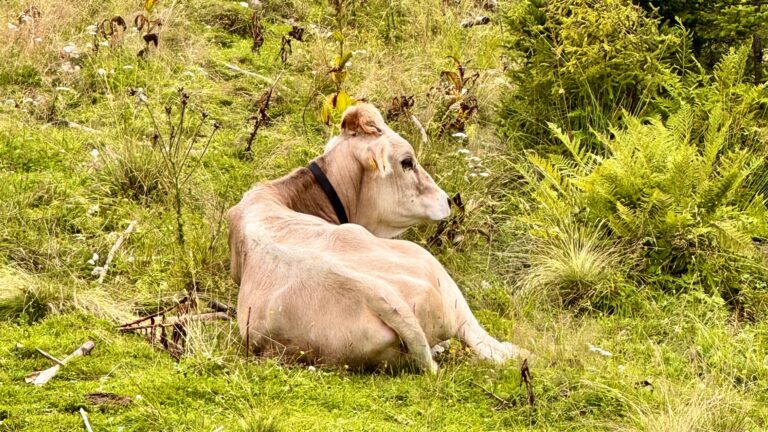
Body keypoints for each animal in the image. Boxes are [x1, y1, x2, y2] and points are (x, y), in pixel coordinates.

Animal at [228, 103, 529, 372]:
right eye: (407, 162)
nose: (446, 200)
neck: (279, 195)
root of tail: (374, 292)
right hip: (433, 269)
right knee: (484, 342)